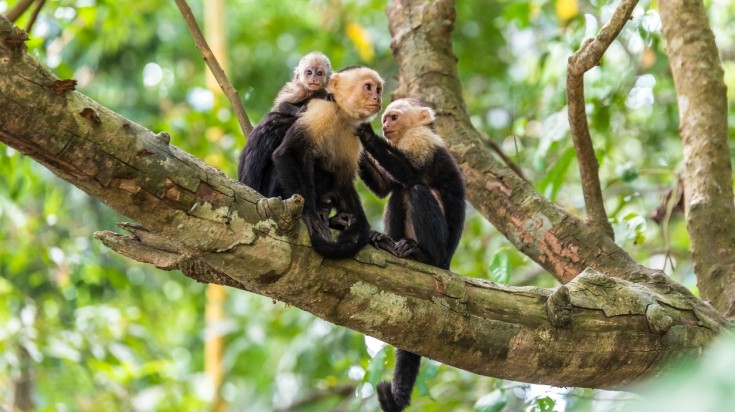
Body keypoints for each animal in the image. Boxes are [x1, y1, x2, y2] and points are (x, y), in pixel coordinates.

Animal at [272, 65, 386, 258]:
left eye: (378, 89)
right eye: (368, 87)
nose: (377, 98)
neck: (341, 113)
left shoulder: (354, 133)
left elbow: (343, 180)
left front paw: (361, 228)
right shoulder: (322, 110)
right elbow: (288, 152)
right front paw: (309, 213)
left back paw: (336, 218)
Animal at [356, 98, 466, 410]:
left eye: (393, 117)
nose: (384, 125)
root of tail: (448, 262)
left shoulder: (422, 140)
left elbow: (412, 174)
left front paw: (365, 135)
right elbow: (386, 188)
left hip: (441, 250)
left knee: (416, 189)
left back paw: (422, 256)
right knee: (398, 194)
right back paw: (387, 243)